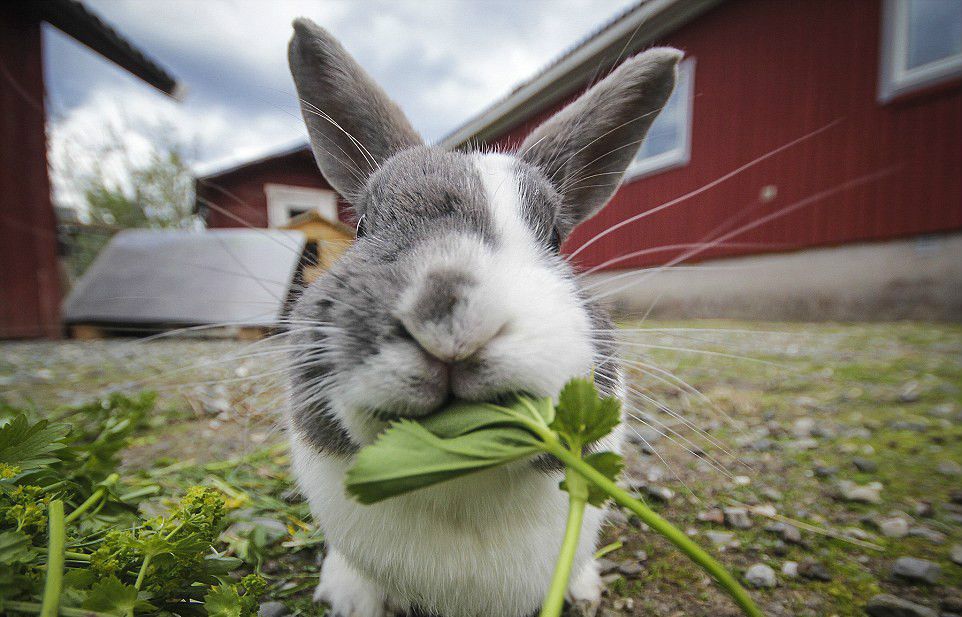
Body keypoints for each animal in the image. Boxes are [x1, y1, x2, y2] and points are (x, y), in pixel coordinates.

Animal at [282, 18, 680, 616]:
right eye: (363, 226)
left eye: (556, 237)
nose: (448, 311)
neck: (457, 472)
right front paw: (350, 596)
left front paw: (584, 588)